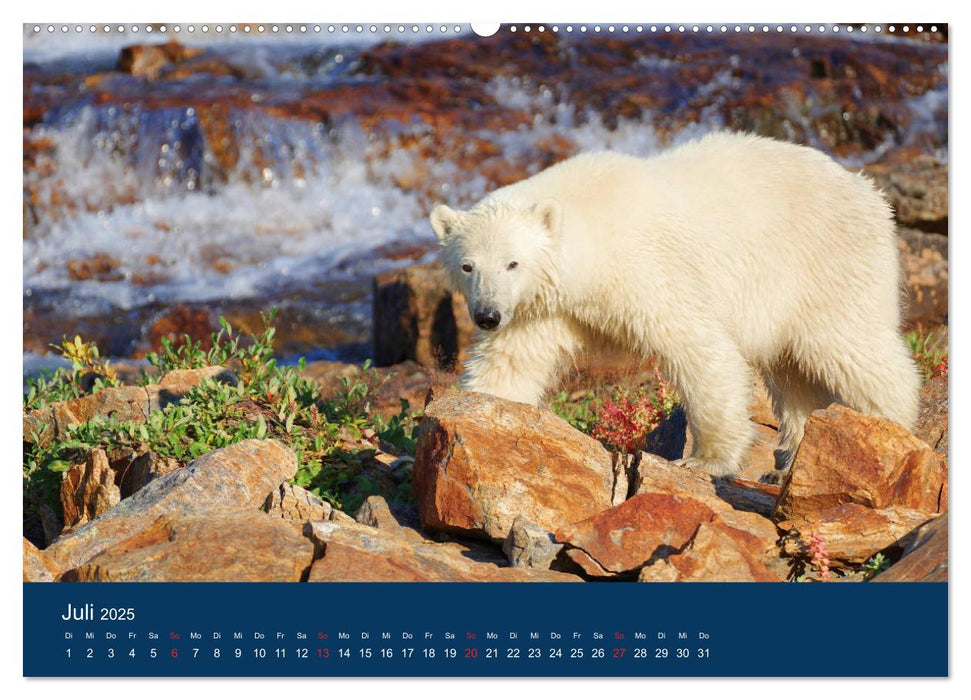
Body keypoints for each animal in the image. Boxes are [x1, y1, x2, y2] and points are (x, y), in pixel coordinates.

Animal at [430, 133, 924, 476]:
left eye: (513, 262)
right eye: (468, 265)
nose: (487, 316)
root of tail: (869, 192)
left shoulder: (646, 269)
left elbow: (699, 347)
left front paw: (708, 459)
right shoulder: (543, 307)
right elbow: (510, 363)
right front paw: (475, 414)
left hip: (827, 265)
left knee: (849, 346)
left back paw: (888, 426)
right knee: (793, 375)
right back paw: (792, 454)